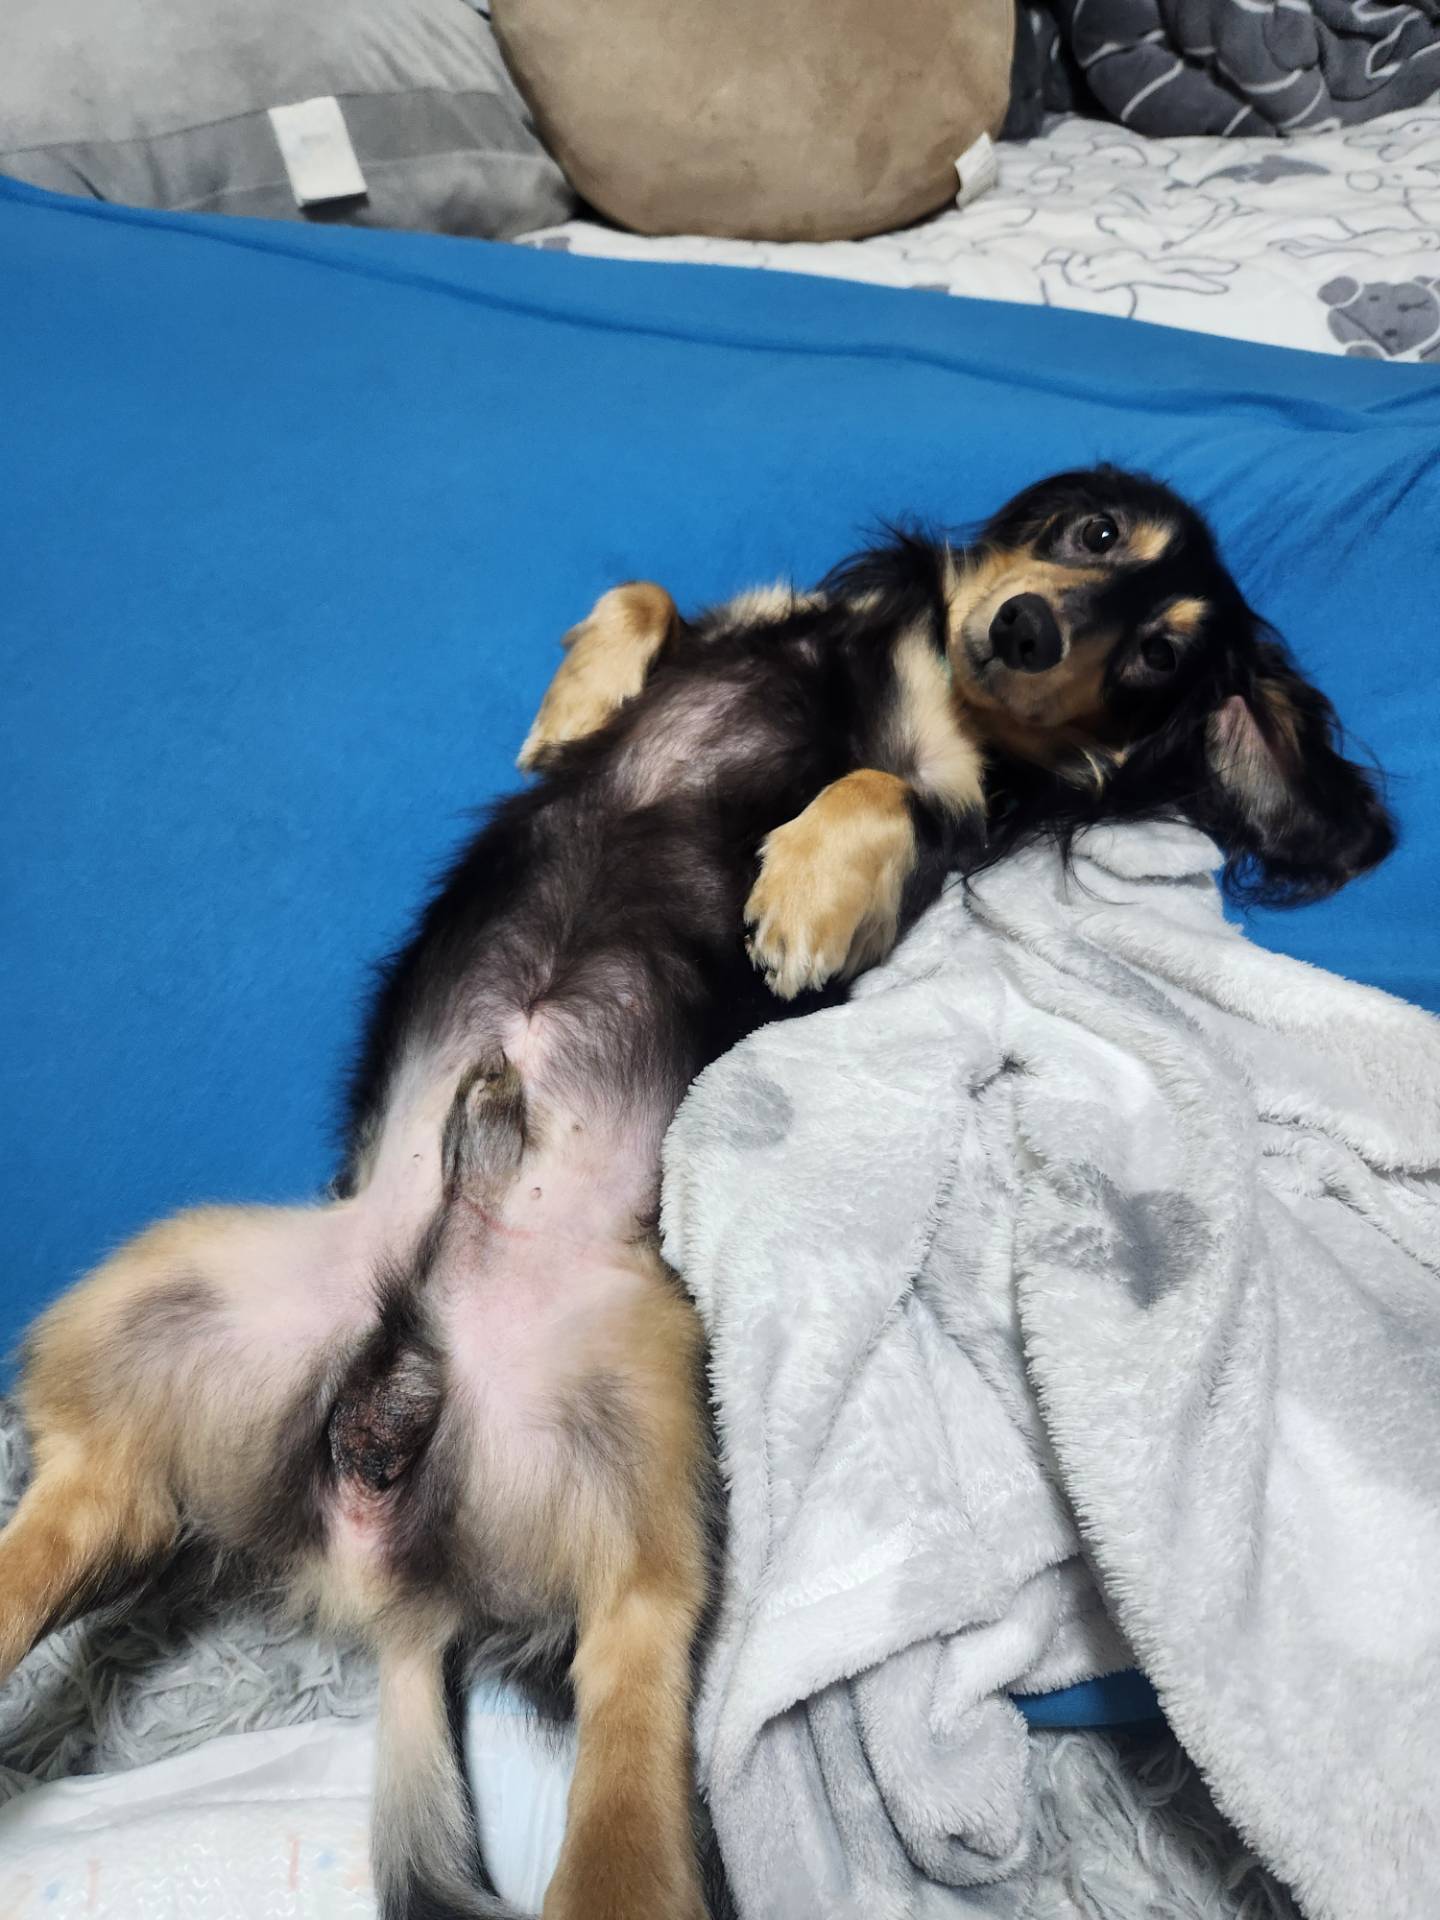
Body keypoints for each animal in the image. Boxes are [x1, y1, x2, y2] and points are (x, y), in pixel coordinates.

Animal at [0, 468, 1392, 1920]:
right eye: (1093, 534)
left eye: (1161, 658)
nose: (1024, 632)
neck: (912, 660)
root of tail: (384, 1549)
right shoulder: (753, 625)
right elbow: (649, 596)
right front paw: (579, 701)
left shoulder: (948, 818)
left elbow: (878, 786)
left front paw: (804, 898)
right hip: (162, 1322)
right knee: (81, 1514)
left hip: (651, 1446)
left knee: (636, 1695)